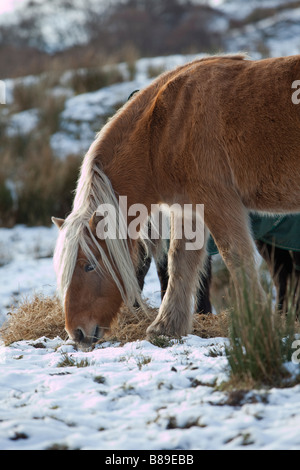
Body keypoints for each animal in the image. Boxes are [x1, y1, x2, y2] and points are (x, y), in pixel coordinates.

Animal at [52, 54, 300, 348]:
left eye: (88, 266)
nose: (76, 332)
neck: (163, 129)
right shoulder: (188, 210)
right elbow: (180, 262)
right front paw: (166, 327)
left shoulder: (218, 202)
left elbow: (235, 257)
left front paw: (258, 323)